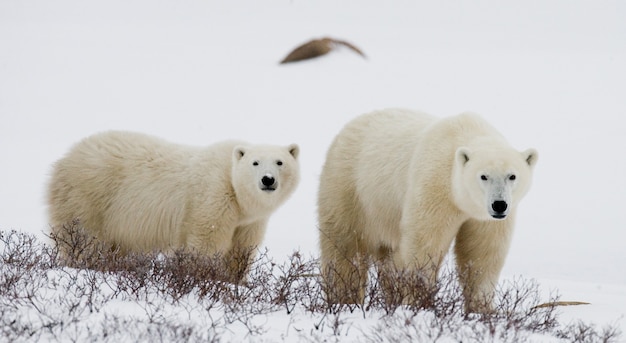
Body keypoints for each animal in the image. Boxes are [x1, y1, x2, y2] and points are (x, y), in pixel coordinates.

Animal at [48, 132, 298, 282]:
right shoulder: (213, 197)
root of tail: (63, 160)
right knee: (82, 239)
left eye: (280, 162)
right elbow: (207, 243)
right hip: (88, 197)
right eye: (255, 162)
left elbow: (241, 250)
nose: (267, 180)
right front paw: (203, 276)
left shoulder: (249, 220)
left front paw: (235, 281)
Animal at [316, 109, 536, 314]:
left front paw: (483, 308)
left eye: (512, 176)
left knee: (387, 258)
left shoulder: (483, 217)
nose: (499, 205)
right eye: (483, 176)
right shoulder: (435, 184)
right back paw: (345, 299)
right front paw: (418, 303)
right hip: (350, 187)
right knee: (344, 245)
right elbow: (424, 244)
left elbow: (483, 251)